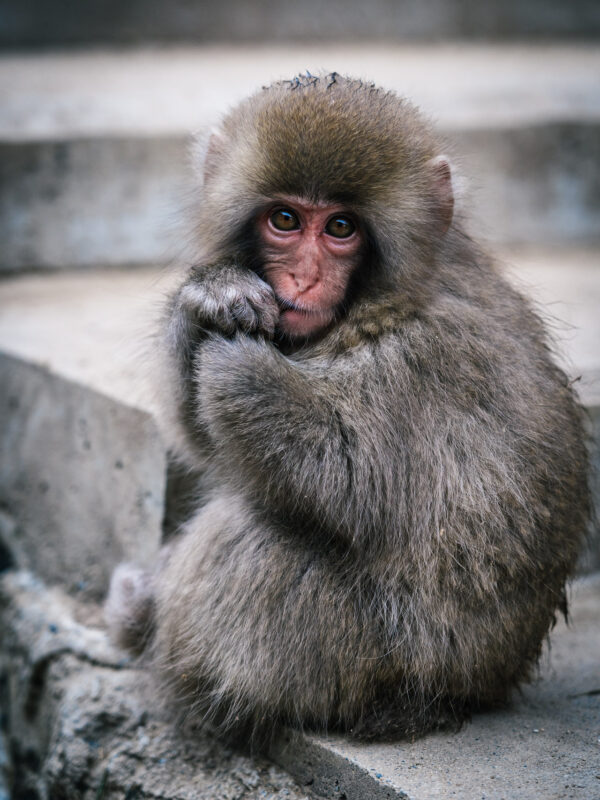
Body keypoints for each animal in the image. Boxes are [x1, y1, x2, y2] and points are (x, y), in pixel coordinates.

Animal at [104, 75, 592, 744]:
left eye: (340, 228)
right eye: (285, 219)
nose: (305, 280)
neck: (373, 298)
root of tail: (477, 692)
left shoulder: (421, 358)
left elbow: (352, 477)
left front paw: (239, 366)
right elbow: (205, 442)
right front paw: (208, 299)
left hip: (373, 661)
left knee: (256, 539)